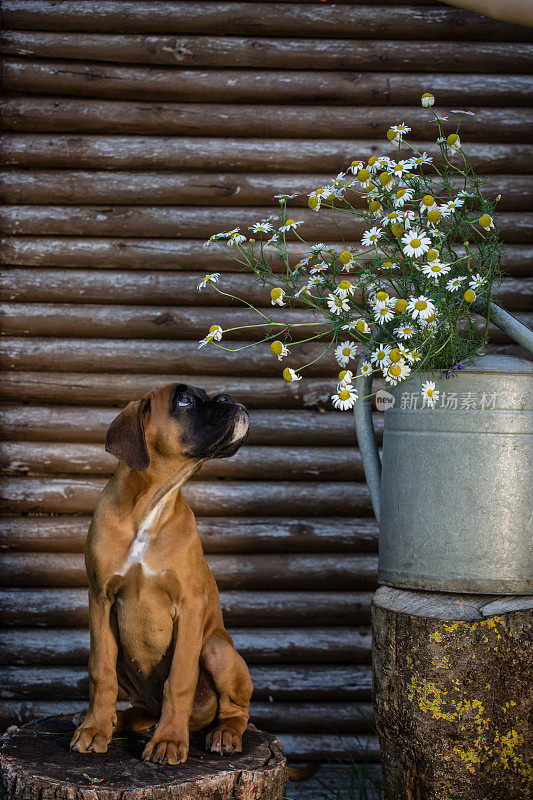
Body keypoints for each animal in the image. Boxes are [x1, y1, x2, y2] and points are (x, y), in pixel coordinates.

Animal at [69, 384, 252, 764]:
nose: (228, 397)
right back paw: (113, 721)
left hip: (216, 647)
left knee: (235, 710)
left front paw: (168, 740)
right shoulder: (100, 600)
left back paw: (224, 734)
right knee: (139, 706)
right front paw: (94, 728)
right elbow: (100, 672)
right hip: (124, 654)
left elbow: (179, 679)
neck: (150, 507)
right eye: (184, 400)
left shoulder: (191, 606)